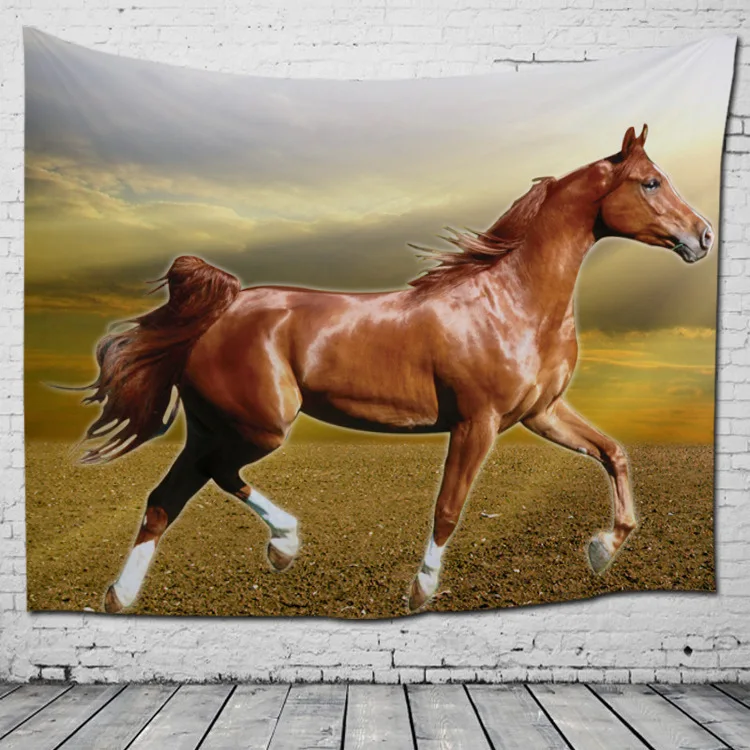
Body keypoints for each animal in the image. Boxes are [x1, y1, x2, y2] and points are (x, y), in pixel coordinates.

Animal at [79, 125, 714, 614]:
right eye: (651, 181)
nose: (703, 235)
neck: (512, 301)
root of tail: (222, 308)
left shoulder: (542, 413)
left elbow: (614, 452)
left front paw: (602, 549)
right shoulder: (477, 423)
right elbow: (449, 508)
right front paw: (421, 590)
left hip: (218, 425)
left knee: (168, 496)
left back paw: (127, 594)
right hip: (259, 426)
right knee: (208, 476)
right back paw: (281, 544)